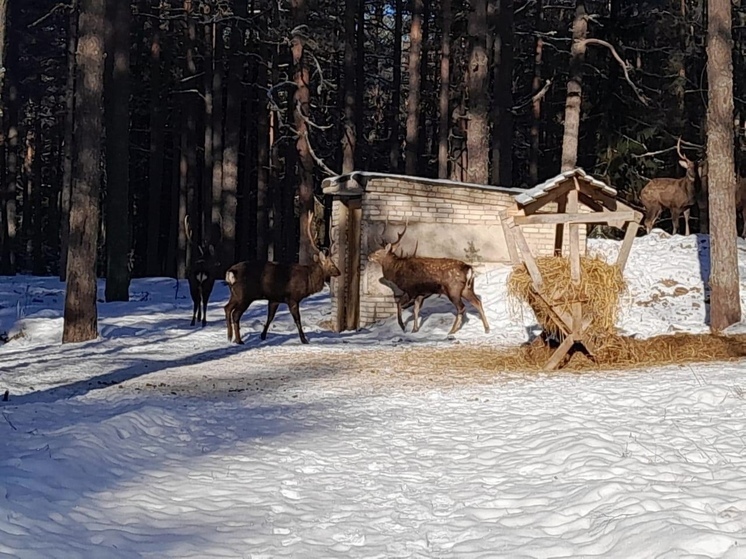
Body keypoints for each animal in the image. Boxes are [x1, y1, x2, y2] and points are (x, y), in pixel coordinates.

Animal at [219, 211, 338, 346]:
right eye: (332, 265)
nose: (339, 272)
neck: (308, 280)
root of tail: (230, 272)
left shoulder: (274, 299)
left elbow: (269, 318)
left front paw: (263, 335)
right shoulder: (292, 298)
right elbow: (297, 320)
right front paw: (304, 340)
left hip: (235, 294)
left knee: (227, 308)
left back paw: (230, 337)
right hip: (245, 295)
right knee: (235, 314)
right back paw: (238, 340)